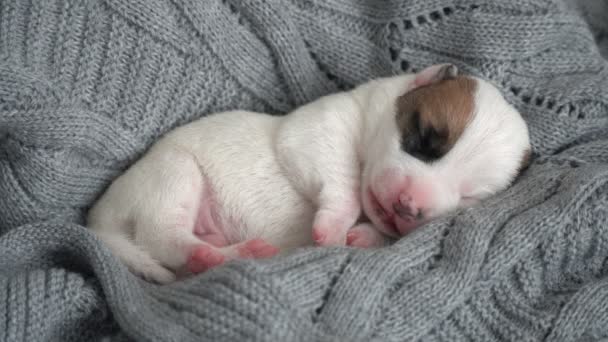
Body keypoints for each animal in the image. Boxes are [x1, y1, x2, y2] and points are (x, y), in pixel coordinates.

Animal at [86, 64, 532, 284]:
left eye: (469, 196)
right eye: (422, 138)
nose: (409, 206)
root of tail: (98, 219)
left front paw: (364, 236)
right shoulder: (317, 131)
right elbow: (342, 181)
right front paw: (335, 227)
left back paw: (229, 253)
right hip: (174, 173)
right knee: (161, 237)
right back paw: (212, 253)